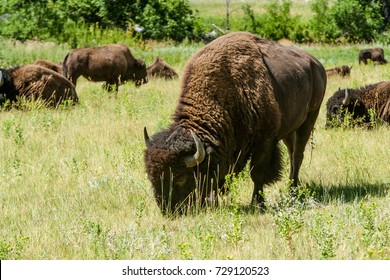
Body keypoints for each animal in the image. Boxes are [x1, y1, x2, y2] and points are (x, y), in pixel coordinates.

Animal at [143, 31, 326, 214]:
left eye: (181, 178)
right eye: (151, 177)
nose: (168, 211)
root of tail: (317, 64)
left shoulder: (264, 142)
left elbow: (257, 174)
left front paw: (258, 203)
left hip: (310, 118)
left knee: (297, 155)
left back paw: (293, 191)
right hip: (290, 129)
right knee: (292, 151)